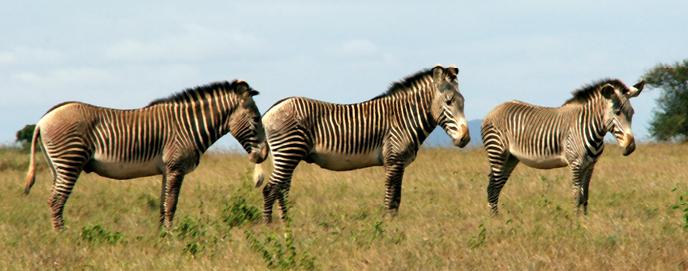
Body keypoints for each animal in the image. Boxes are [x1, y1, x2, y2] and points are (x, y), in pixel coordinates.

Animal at [22, 79, 268, 231]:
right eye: (257, 119)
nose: (264, 155)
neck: (188, 126)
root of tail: (44, 119)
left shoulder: (167, 170)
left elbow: (163, 203)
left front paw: (162, 234)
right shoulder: (176, 168)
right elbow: (171, 204)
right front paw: (171, 236)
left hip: (57, 167)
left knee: (54, 199)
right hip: (70, 162)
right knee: (56, 200)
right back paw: (62, 235)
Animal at [253, 66, 472, 223]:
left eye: (463, 101)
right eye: (449, 102)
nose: (465, 138)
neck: (403, 117)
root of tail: (270, 111)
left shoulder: (398, 163)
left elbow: (397, 196)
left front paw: (392, 223)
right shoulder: (393, 160)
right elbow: (392, 195)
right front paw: (389, 225)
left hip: (287, 155)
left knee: (281, 189)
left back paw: (286, 222)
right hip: (288, 152)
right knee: (270, 189)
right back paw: (269, 225)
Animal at [478, 79, 644, 217]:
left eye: (632, 113)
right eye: (617, 113)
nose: (630, 147)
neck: (590, 127)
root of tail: (494, 110)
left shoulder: (590, 166)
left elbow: (585, 195)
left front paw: (585, 220)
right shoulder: (576, 164)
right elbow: (577, 195)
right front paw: (576, 223)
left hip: (510, 158)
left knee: (497, 186)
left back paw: (497, 217)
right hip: (497, 153)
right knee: (492, 187)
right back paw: (495, 221)